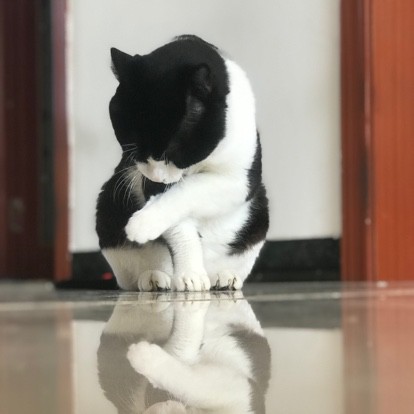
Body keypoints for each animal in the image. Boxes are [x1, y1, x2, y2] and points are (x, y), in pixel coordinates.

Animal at [95, 35, 269, 291]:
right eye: (134, 149)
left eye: (171, 152)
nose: (157, 177)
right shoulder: (148, 181)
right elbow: (179, 224)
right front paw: (190, 274)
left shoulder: (240, 179)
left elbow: (190, 190)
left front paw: (143, 222)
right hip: (109, 210)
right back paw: (155, 278)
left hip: (259, 219)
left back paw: (224, 277)